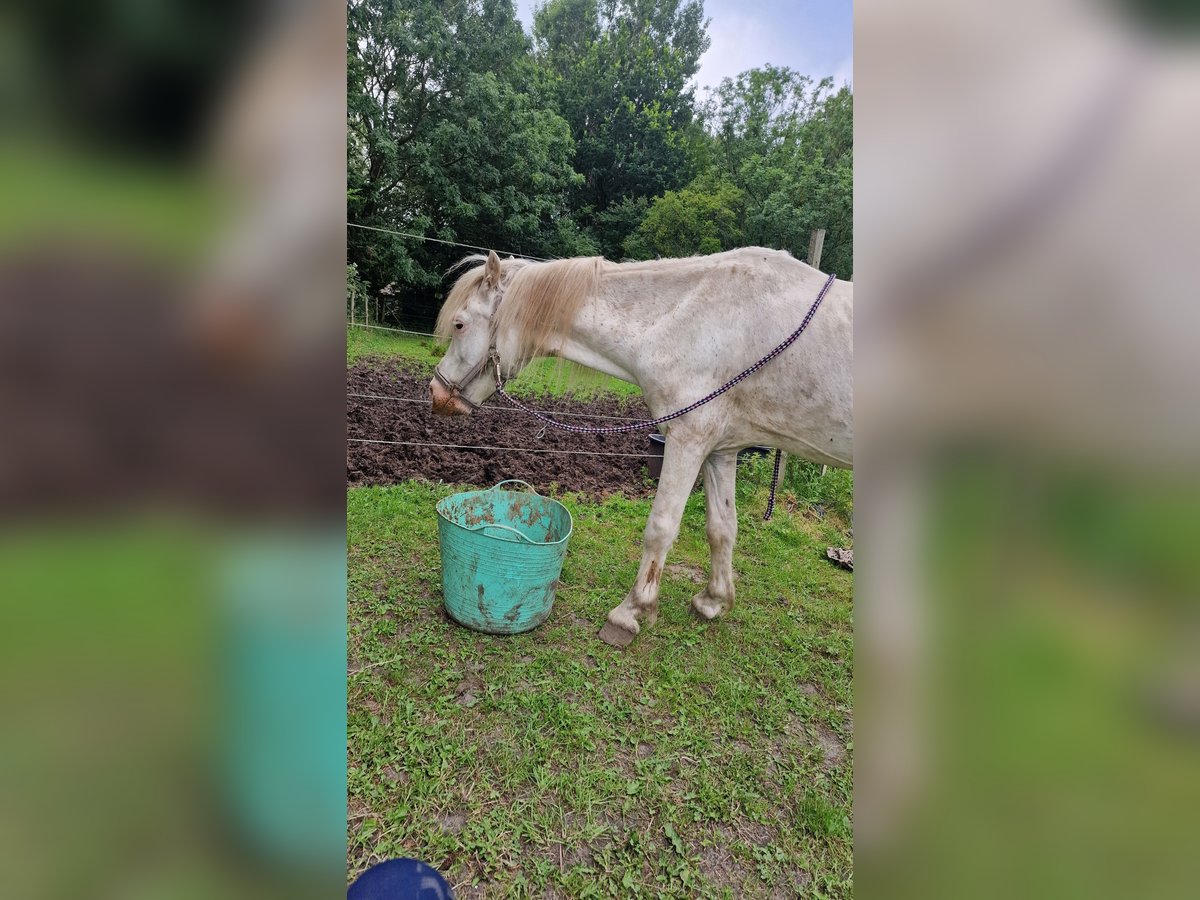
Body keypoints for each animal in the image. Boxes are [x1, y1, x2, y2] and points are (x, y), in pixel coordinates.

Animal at [427, 247, 849, 648]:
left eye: (460, 324)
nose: (436, 395)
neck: (693, 316)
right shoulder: (720, 450)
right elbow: (722, 528)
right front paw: (712, 602)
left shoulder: (688, 440)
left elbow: (660, 529)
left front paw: (629, 614)